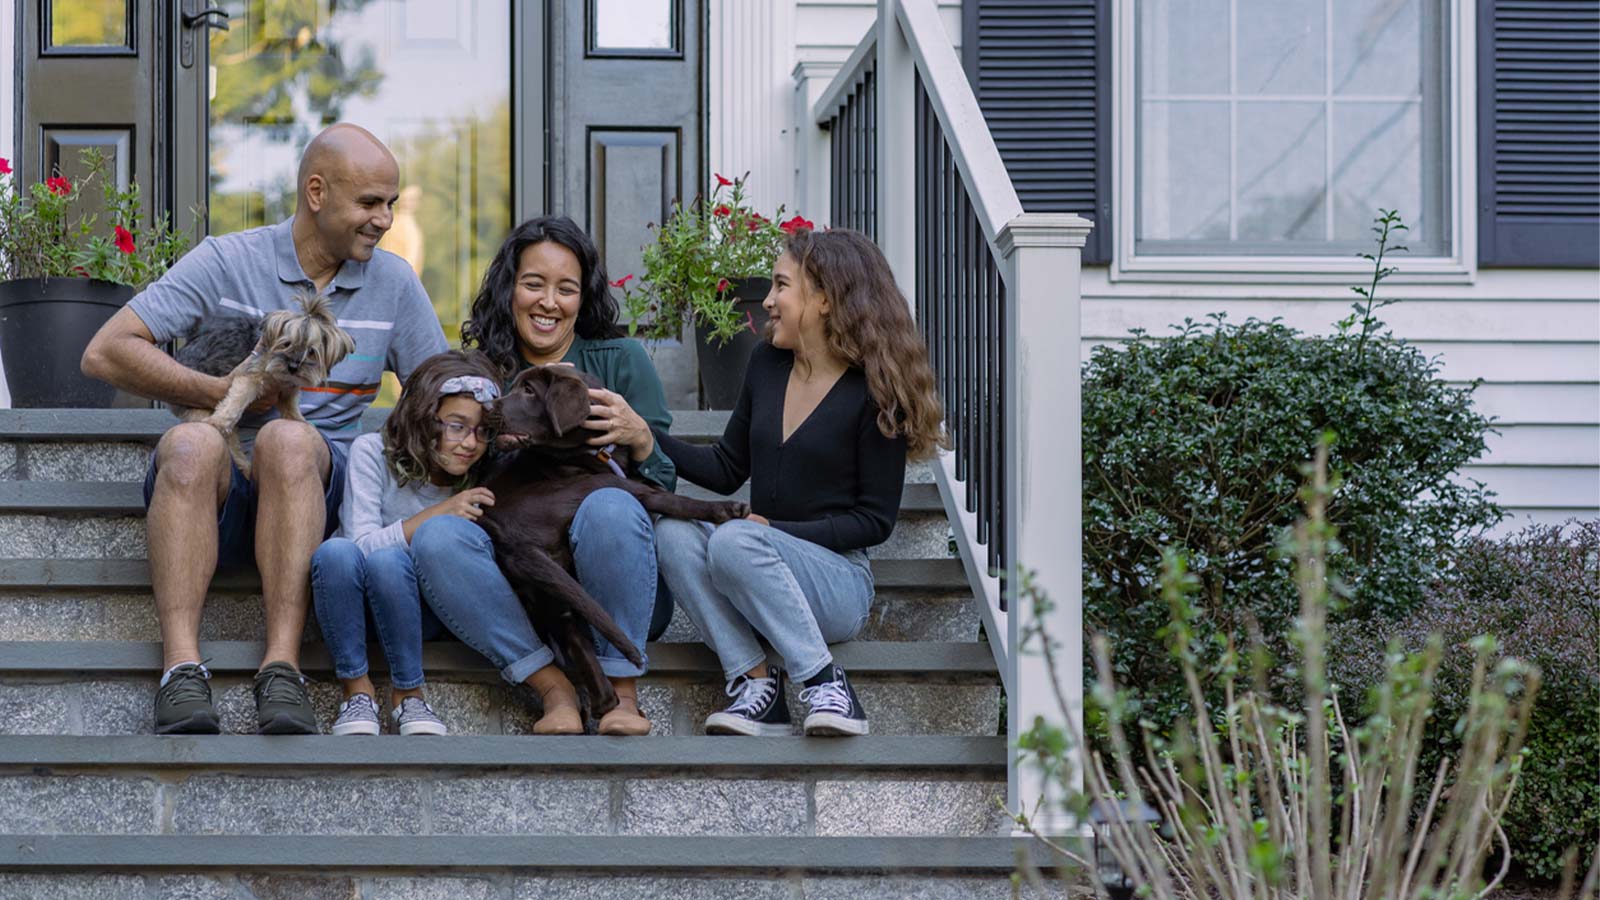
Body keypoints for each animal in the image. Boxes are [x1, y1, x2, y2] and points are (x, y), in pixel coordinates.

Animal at [171, 293, 353, 477]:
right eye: (286, 344)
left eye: (311, 352)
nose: (293, 367)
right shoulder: (250, 376)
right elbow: (236, 400)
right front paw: (219, 421)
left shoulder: (287, 392)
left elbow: (292, 412)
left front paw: (303, 423)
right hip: (198, 407)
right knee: (228, 440)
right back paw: (243, 464)